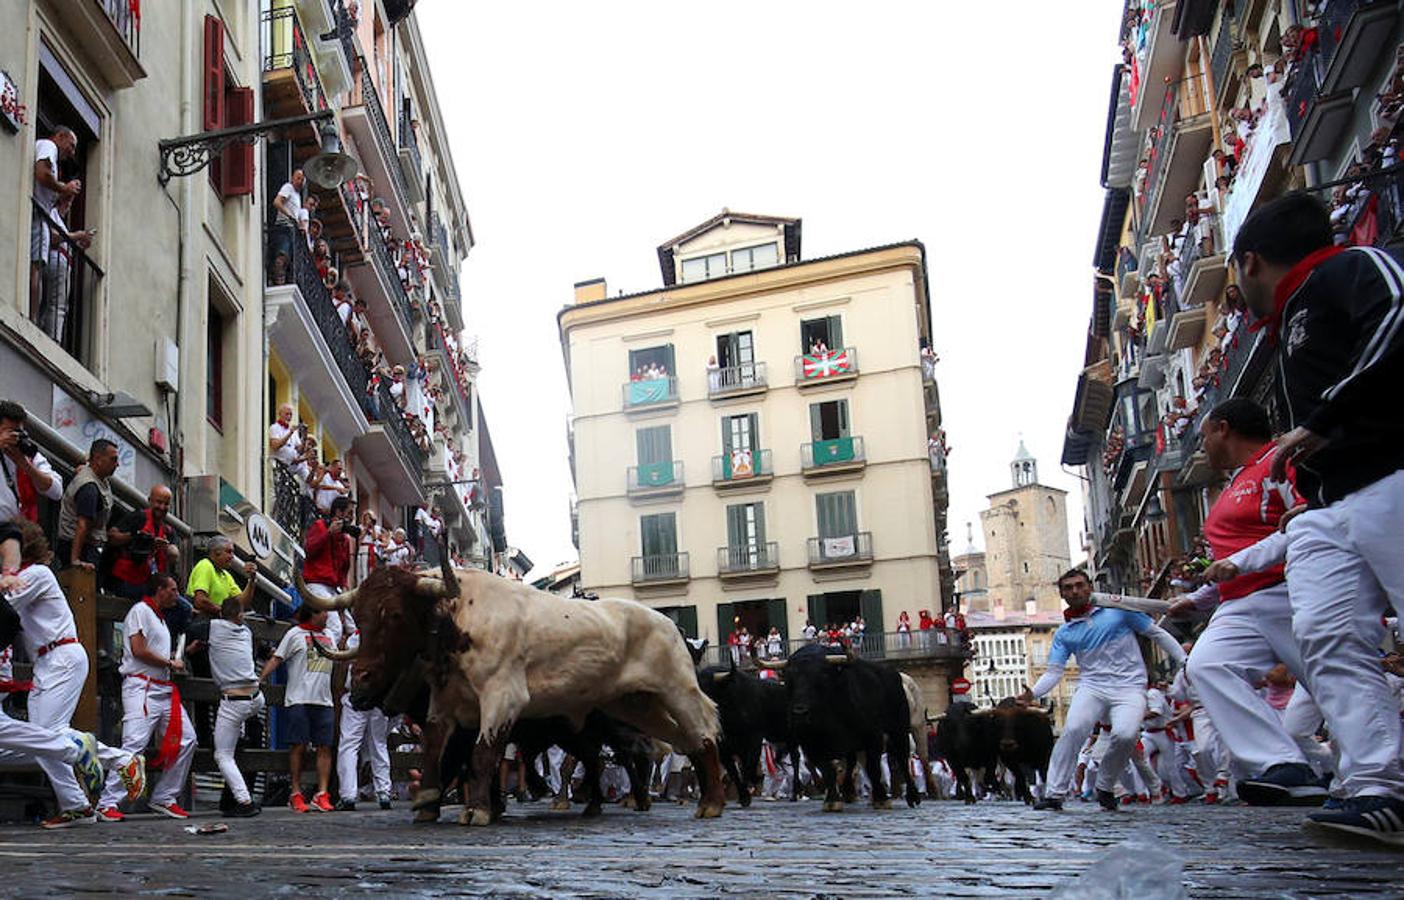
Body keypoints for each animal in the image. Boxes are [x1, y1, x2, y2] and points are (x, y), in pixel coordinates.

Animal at [303, 564, 730, 825]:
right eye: (358, 615)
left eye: (394, 614)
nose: (359, 681)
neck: (458, 616)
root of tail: (668, 624)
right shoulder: (445, 703)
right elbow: (436, 749)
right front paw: (428, 800)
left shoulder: (502, 698)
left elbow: (482, 754)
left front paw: (477, 809)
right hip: (637, 705)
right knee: (682, 741)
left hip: (676, 689)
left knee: (703, 733)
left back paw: (710, 801)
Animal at [763, 643, 915, 808]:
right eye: (789, 679)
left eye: (822, 676)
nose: (799, 712)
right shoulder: (811, 745)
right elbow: (828, 770)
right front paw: (832, 800)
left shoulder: (874, 737)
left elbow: (873, 768)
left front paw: (881, 799)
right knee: (851, 762)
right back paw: (847, 792)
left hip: (899, 729)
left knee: (902, 757)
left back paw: (912, 796)